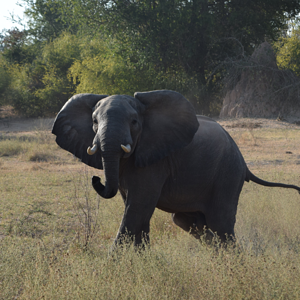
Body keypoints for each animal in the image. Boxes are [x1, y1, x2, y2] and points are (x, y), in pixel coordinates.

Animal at [52, 89, 300, 248]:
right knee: (191, 223)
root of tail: (245, 163)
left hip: (228, 174)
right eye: (94, 122)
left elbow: (137, 209)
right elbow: (136, 212)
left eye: (134, 122)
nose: (96, 179)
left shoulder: (155, 161)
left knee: (221, 224)